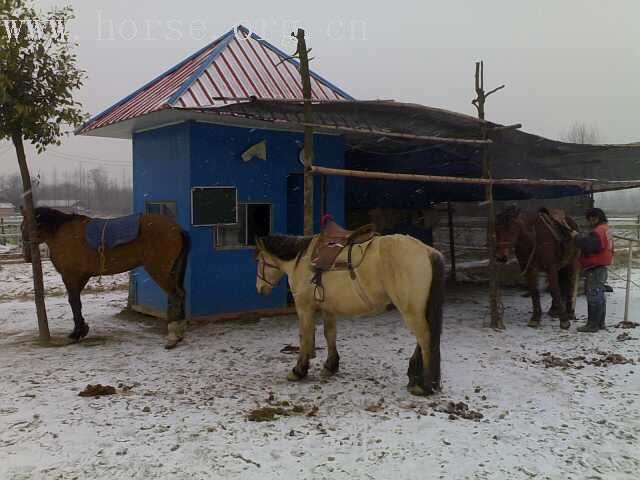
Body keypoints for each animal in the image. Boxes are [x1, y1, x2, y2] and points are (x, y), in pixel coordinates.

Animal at [20, 206, 190, 348]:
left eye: (24, 225)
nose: (26, 254)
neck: (61, 232)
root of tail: (177, 229)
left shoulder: (70, 276)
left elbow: (74, 302)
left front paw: (76, 333)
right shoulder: (81, 277)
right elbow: (76, 302)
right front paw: (82, 329)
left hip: (159, 271)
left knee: (175, 295)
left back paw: (173, 336)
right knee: (180, 294)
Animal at [255, 234, 444, 396]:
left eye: (259, 260)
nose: (260, 289)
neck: (302, 260)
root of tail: (427, 251)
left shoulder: (304, 308)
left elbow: (305, 337)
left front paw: (298, 371)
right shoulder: (328, 309)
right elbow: (330, 334)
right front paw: (330, 366)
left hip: (411, 311)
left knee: (425, 339)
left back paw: (425, 385)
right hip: (418, 310)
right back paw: (415, 379)